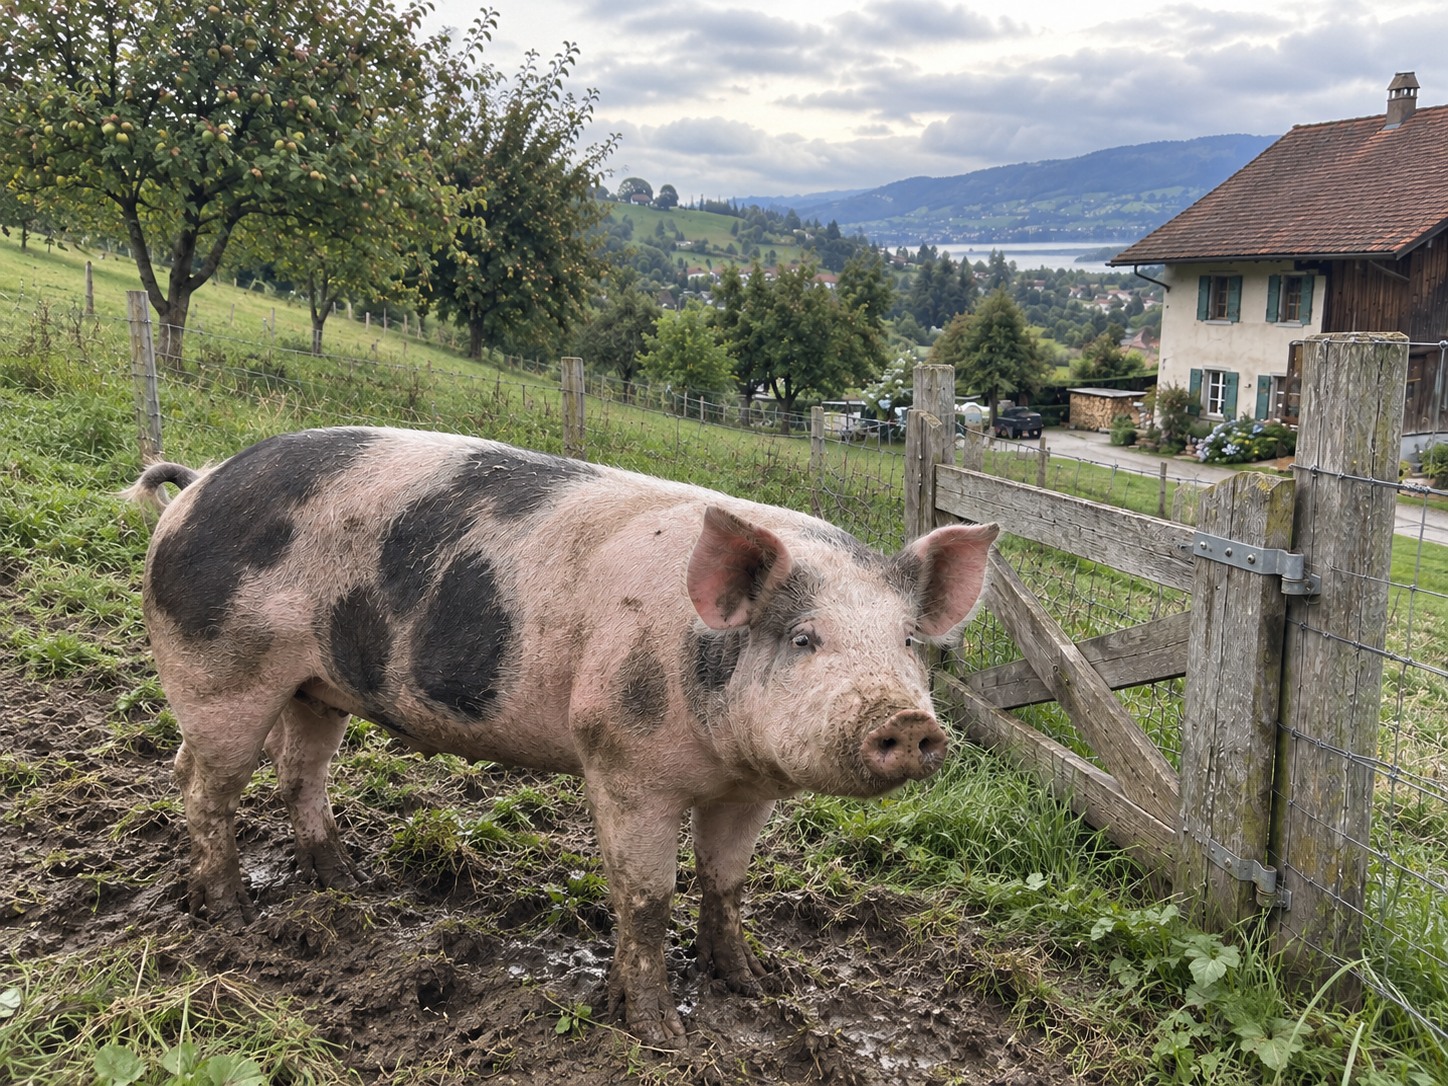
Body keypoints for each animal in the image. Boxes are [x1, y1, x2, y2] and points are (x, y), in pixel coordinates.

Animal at [124, 426, 998, 1043]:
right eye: (804, 638)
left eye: (910, 643)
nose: (909, 722)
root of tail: (197, 486)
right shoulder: (624, 759)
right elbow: (646, 895)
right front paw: (660, 1034)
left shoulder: (749, 791)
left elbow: (726, 883)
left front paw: (757, 986)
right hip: (219, 673)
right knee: (200, 781)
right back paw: (231, 915)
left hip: (316, 686)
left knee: (297, 771)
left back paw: (348, 884)